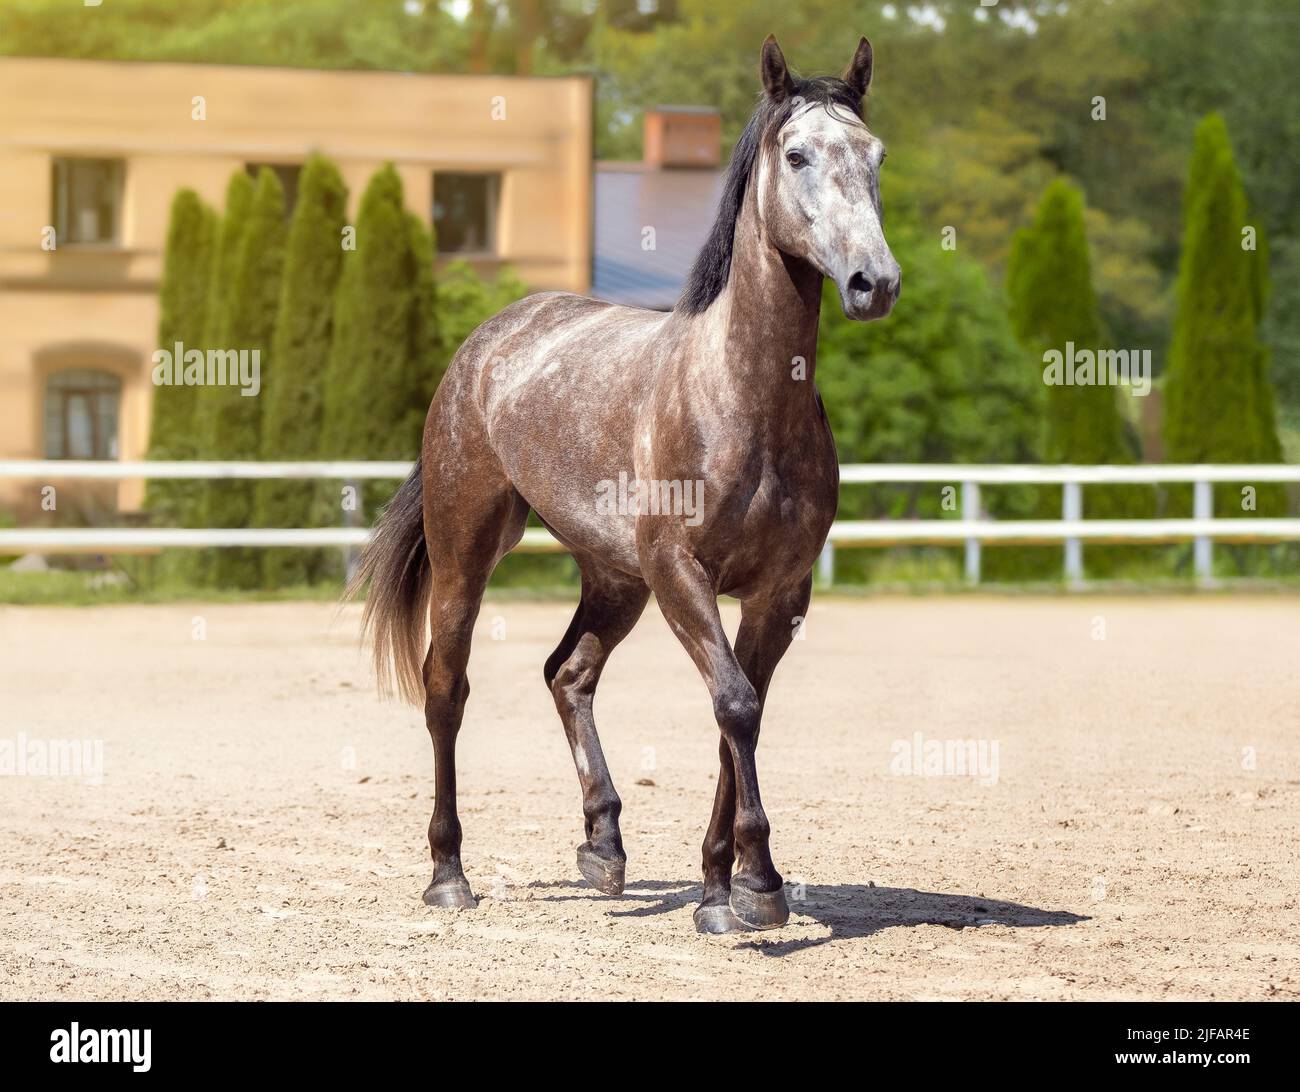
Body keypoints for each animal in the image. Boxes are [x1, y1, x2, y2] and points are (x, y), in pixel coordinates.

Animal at [351, 38, 899, 935]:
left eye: (876, 156)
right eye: (796, 155)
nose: (872, 282)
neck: (743, 399)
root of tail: (486, 344)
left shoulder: (780, 592)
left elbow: (739, 710)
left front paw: (726, 885)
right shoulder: (682, 574)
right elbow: (735, 704)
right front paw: (756, 884)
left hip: (614, 578)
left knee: (567, 673)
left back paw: (603, 846)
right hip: (469, 550)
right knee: (446, 688)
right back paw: (448, 874)